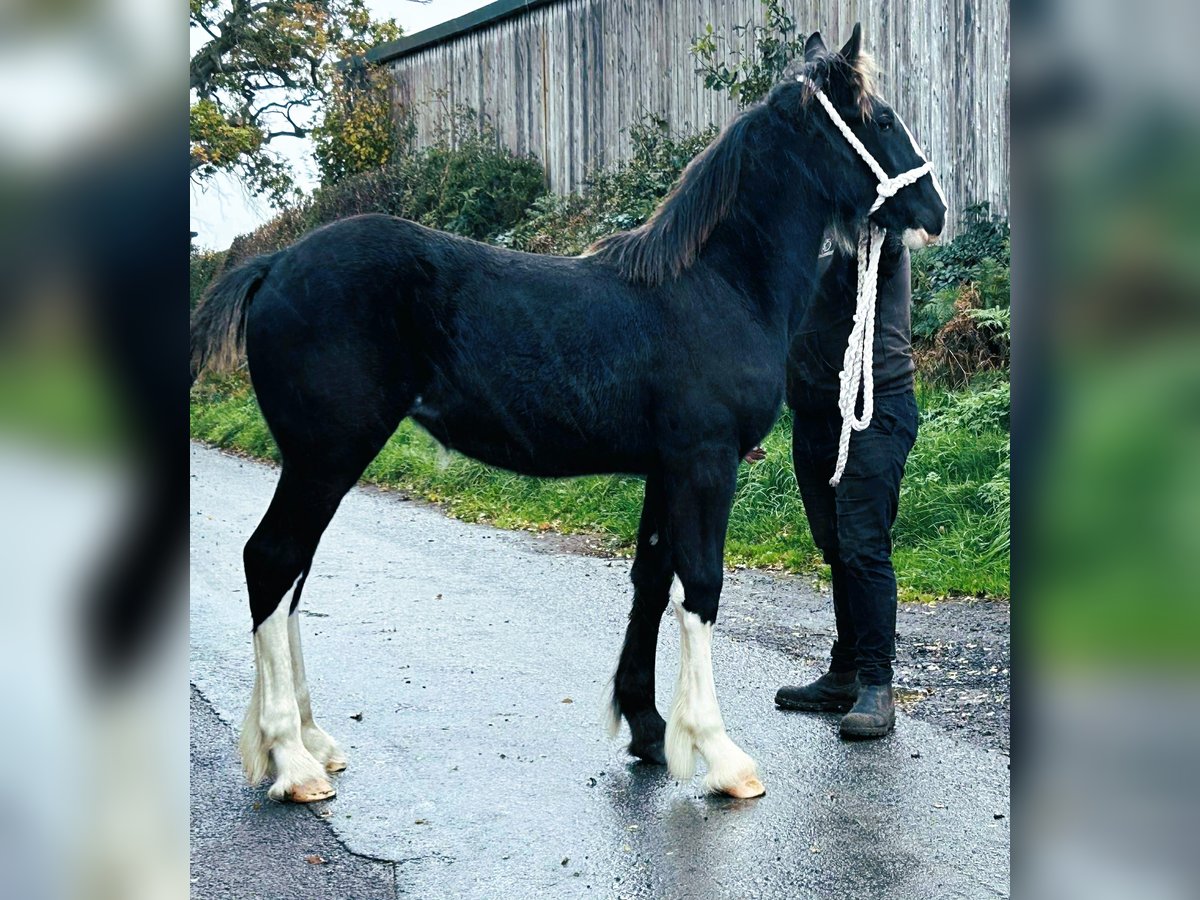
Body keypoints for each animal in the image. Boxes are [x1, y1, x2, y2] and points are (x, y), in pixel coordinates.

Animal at [190, 24, 946, 803]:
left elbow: (652, 581)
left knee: (292, 576)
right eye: (882, 119)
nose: (934, 213)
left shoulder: (664, 468)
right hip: (326, 457)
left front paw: (649, 732)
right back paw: (293, 760)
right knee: (273, 561)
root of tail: (274, 265)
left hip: (318, 462)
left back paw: (311, 741)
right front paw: (720, 754)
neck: (718, 285)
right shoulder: (705, 463)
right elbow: (702, 587)